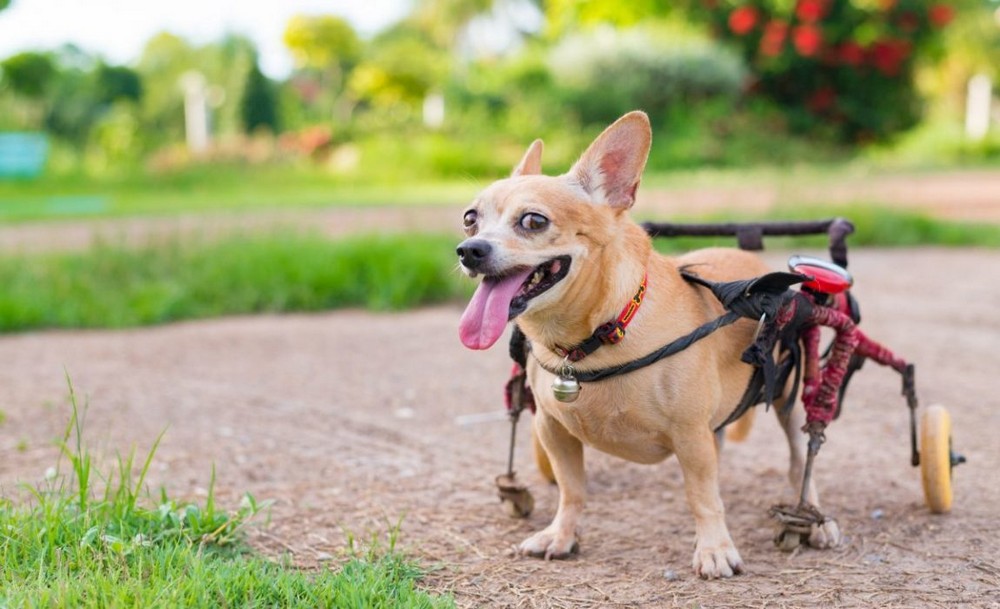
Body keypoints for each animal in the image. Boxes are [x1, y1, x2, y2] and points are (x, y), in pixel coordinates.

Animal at [458, 111, 840, 576]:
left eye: (533, 221)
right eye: (470, 218)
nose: (468, 249)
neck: (593, 338)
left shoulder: (690, 435)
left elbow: (702, 496)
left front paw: (714, 549)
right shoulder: (553, 430)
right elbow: (572, 489)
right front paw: (562, 535)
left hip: (788, 401)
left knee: (801, 461)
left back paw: (815, 519)